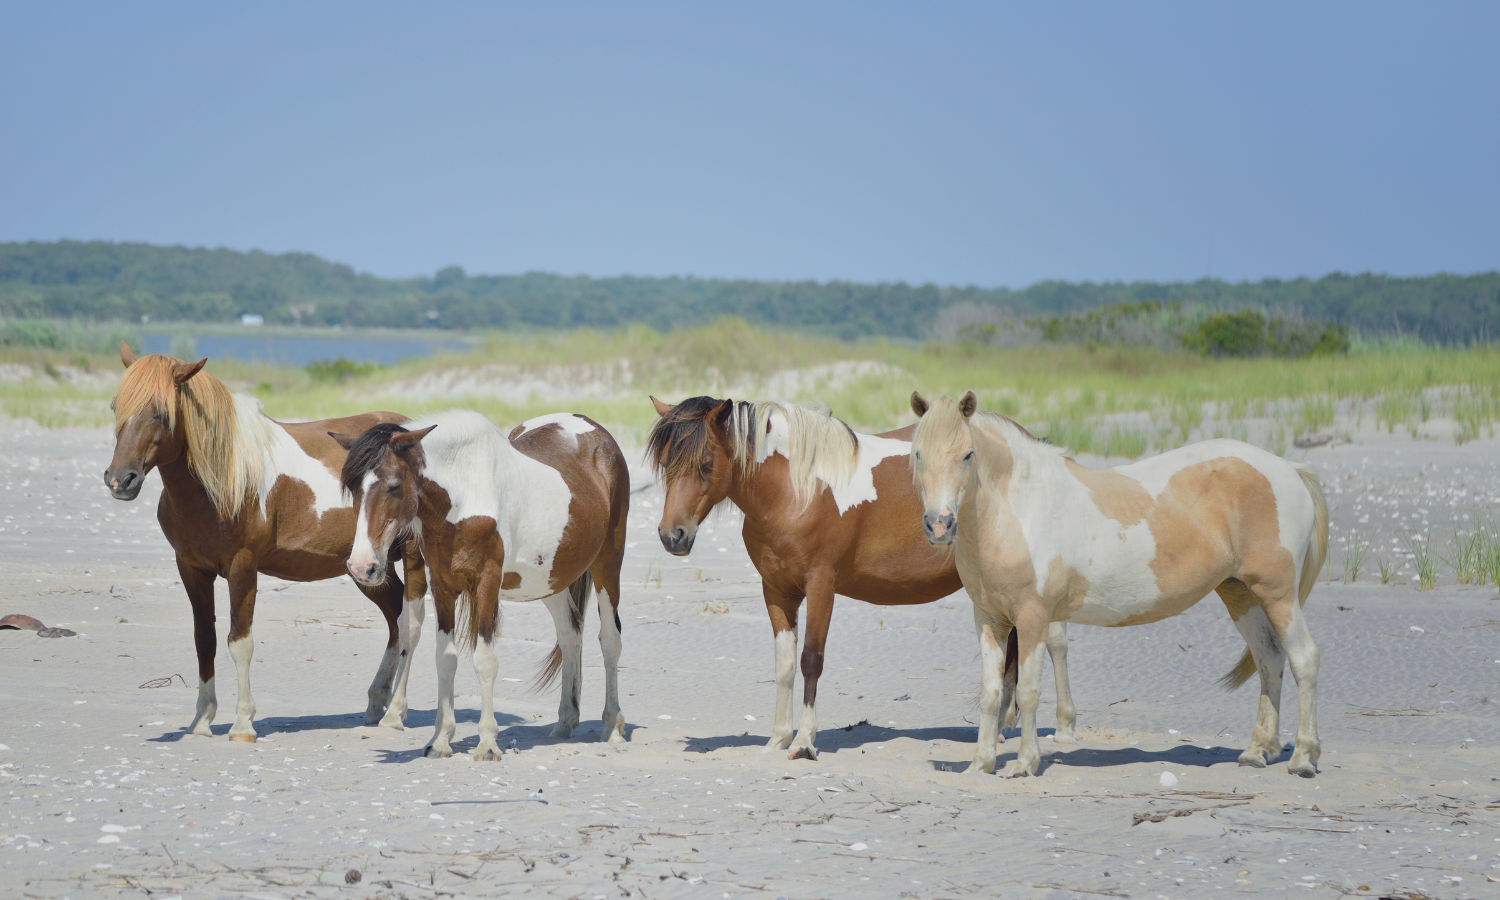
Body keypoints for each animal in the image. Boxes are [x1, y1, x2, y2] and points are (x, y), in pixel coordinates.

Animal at [102, 344, 429, 742]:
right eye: (116, 407)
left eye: (162, 413)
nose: (120, 480)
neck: (223, 480)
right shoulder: (191, 569)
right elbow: (205, 640)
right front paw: (201, 721)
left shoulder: (242, 567)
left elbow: (240, 642)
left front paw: (243, 724)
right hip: (367, 568)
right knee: (395, 619)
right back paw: (376, 701)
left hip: (409, 556)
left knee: (410, 625)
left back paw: (395, 712)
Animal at [334, 409, 630, 759]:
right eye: (353, 488)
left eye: (393, 486)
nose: (361, 566)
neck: (465, 497)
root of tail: (596, 430)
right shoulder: (442, 586)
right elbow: (445, 659)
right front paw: (440, 740)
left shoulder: (488, 583)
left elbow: (485, 661)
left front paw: (487, 742)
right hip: (550, 578)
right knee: (570, 634)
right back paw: (565, 722)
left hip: (608, 564)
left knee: (610, 640)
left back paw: (612, 726)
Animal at [647, 396, 1075, 761]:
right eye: (666, 462)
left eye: (705, 462)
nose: (672, 536)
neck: (798, 489)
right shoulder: (777, 590)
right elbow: (784, 665)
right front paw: (778, 738)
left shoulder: (821, 584)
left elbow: (810, 660)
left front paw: (804, 742)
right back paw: (1001, 728)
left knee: (1054, 642)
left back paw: (1065, 728)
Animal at [909, 391, 1329, 778]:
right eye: (917, 454)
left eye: (967, 454)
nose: (939, 525)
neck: (1018, 509)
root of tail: (1289, 468)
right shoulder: (989, 620)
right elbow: (991, 693)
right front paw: (980, 764)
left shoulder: (1032, 618)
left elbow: (1027, 692)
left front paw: (1025, 763)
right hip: (1240, 593)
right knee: (1269, 658)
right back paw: (1258, 751)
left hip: (1278, 593)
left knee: (1304, 658)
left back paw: (1304, 758)